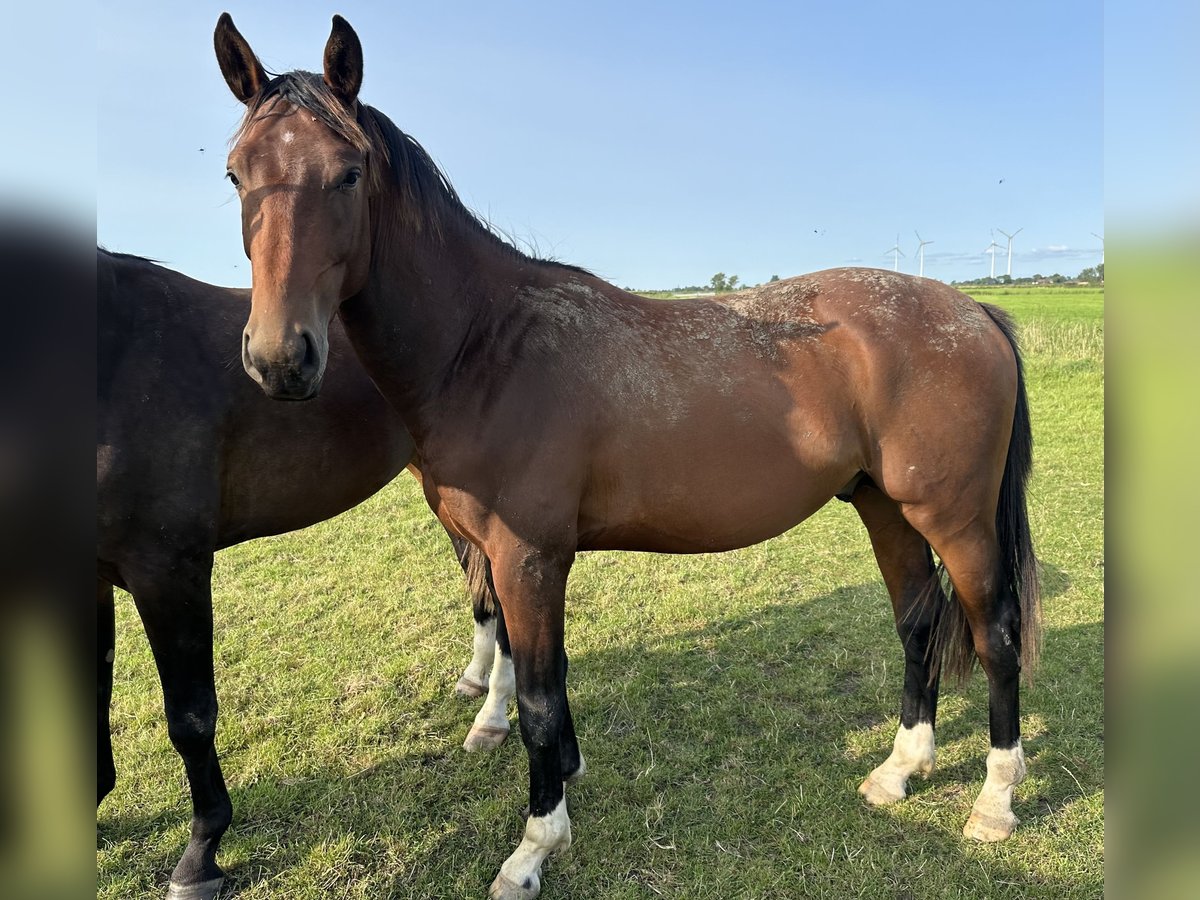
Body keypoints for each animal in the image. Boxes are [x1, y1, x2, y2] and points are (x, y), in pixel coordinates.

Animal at [213, 14, 1041, 900]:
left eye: (349, 173)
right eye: (236, 175)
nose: (280, 358)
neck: (485, 346)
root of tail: (974, 312)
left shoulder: (529, 557)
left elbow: (539, 699)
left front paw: (535, 846)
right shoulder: (504, 558)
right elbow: (535, 671)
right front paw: (563, 776)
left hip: (955, 518)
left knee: (994, 633)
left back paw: (994, 802)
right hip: (885, 506)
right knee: (919, 621)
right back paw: (900, 770)